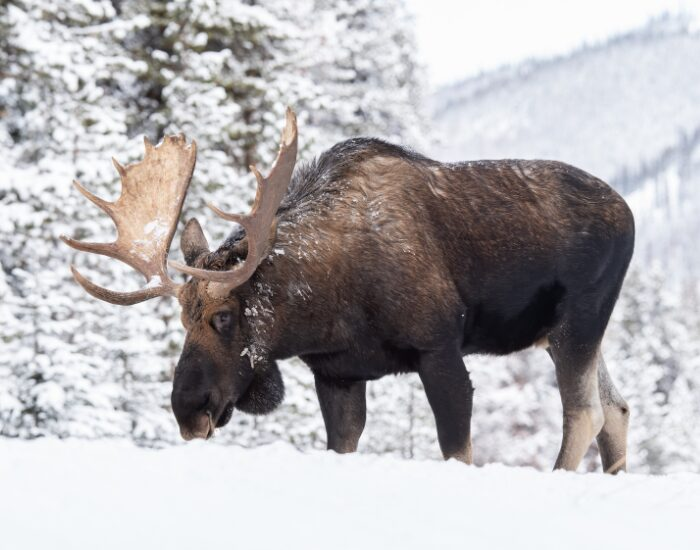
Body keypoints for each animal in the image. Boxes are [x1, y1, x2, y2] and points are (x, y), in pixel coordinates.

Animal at [62, 108, 635, 473]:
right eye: (183, 319)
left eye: (224, 316)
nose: (188, 409)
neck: (325, 308)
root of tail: (628, 213)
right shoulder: (337, 375)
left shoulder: (440, 349)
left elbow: (457, 451)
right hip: (562, 333)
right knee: (618, 409)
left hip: (579, 318)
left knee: (586, 413)